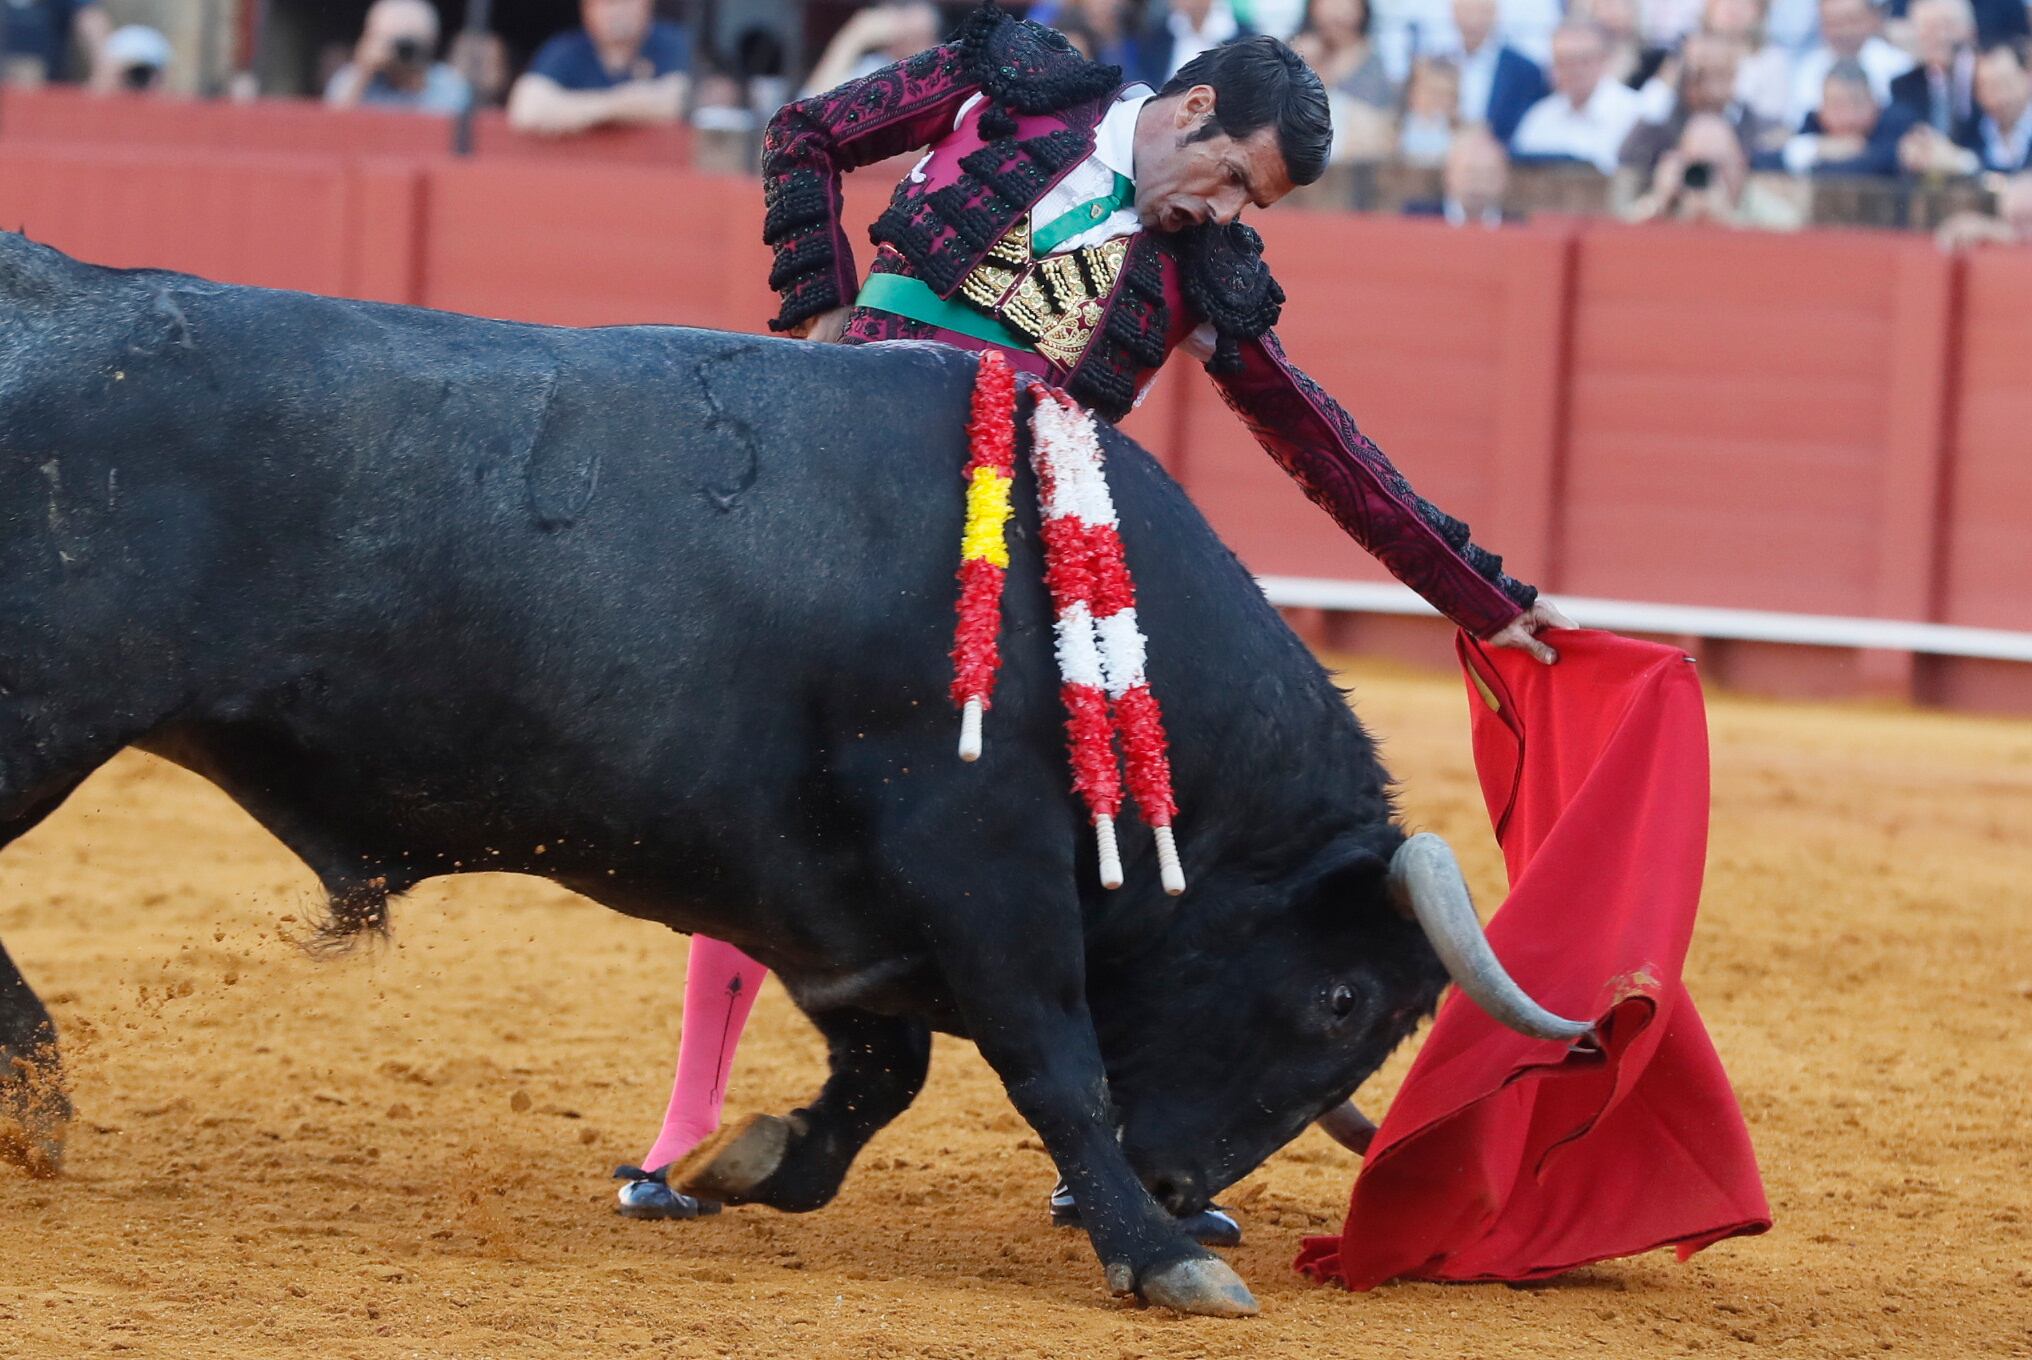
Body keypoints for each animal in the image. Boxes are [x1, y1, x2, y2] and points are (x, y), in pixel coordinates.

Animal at [0, 240, 1576, 1317]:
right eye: (1342, 1001)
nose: (1185, 1191)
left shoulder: (836, 913)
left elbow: (881, 1078)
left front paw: (742, 1162)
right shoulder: (982, 870)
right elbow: (1051, 1062)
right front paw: (1161, 1262)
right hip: (41, 725)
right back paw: (40, 1100)